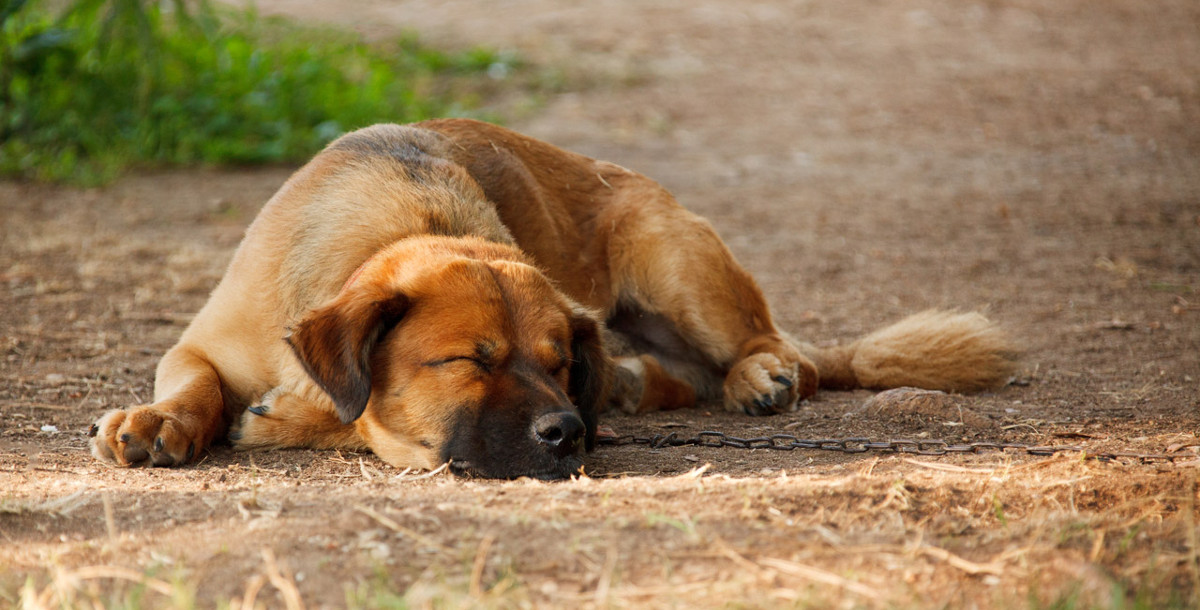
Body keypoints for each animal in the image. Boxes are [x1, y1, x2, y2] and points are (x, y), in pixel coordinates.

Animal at [88, 118, 1017, 477]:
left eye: (558, 363)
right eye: (469, 361)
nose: (570, 431)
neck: (393, 230)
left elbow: (337, 412)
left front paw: (291, 415)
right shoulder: (198, 343)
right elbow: (195, 383)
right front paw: (161, 420)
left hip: (671, 259)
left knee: (786, 351)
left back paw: (760, 375)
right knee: (683, 375)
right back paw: (643, 383)